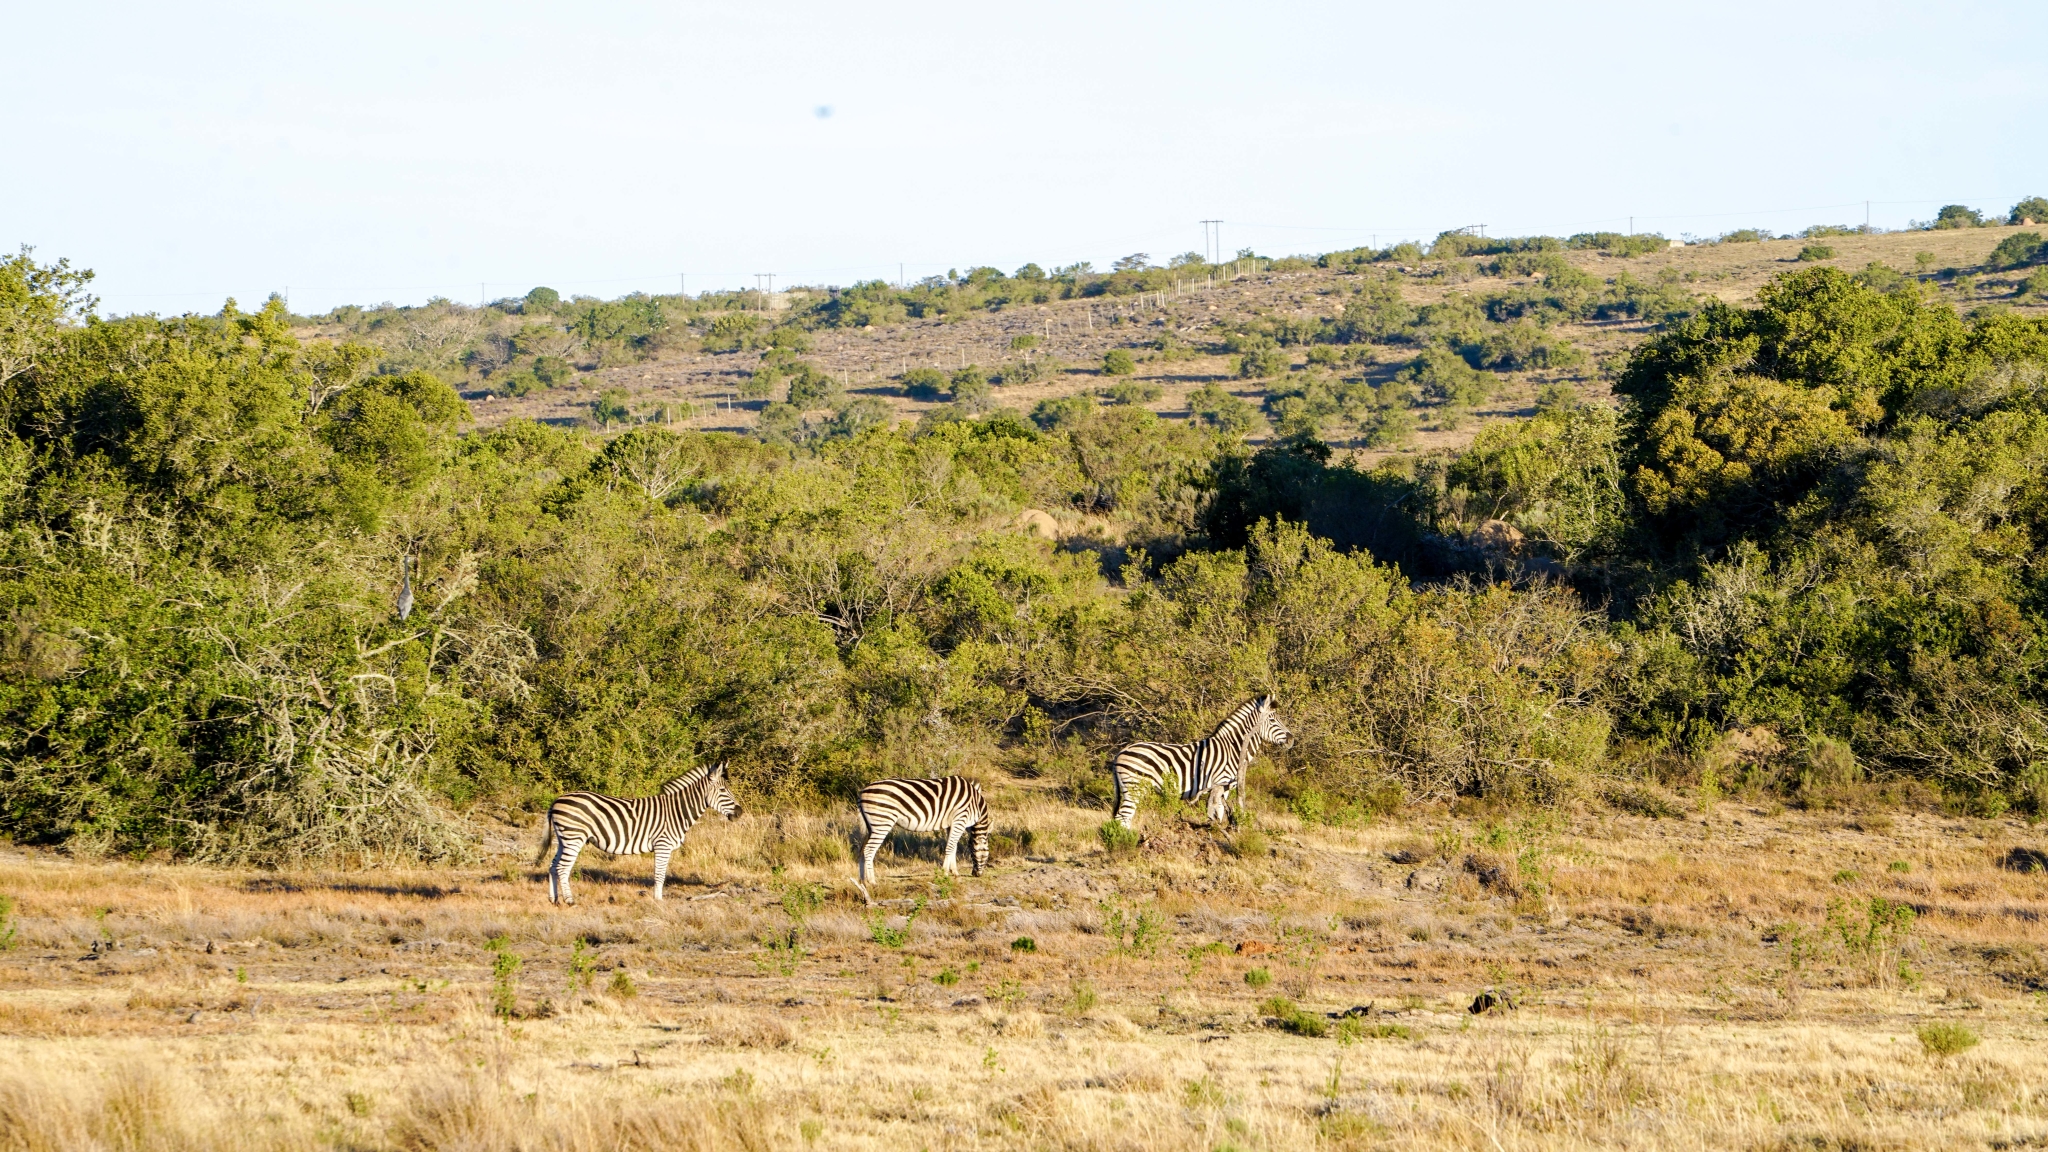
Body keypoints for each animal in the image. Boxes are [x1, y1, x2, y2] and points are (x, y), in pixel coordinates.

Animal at [536, 758, 745, 901]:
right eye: (723, 791)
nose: (740, 812)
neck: (677, 811)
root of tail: (556, 800)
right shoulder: (663, 845)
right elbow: (660, 874)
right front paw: (659, 901)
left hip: (564, 839)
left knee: (553, 866)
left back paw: (554, 899)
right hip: (574, 837)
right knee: (562, 868)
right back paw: (569, 901)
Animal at [856, 770, 991, 897]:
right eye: (986, 852)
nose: (977, 874)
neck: (975, 802)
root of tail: (862, 792)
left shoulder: (951, 824)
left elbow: (953, 847)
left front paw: (955, 873)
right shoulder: (960, 819)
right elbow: (950, 847)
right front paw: (944, 874)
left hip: (870, 826)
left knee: (862, 850)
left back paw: (863, 881)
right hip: (882, 821)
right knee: (869, 850)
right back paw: (872, 882)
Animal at [1114, 688, 1286, 824]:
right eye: (1272, 720)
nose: (1290, 739)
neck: (1232, 748)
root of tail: (1120, 753)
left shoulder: (1221, 787)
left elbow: (1219, 812)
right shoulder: (1221, 783)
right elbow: (1218, 812)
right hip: (1134, 786)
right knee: (1123, 817)